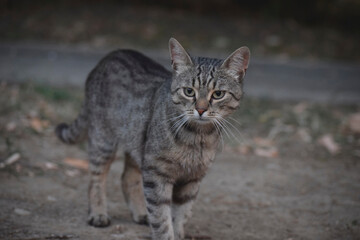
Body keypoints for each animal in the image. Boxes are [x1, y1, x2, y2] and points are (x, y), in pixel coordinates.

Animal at [56, 38, 250, 239]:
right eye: (189, 91)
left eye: (218, 94)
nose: (201, 109)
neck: (197, 137)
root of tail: (108, 57)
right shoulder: (156, 174)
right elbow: (161, 219)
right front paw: (165, 233)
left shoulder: (192, 179)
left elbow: (181, 215)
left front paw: (178, 232)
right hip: (103, 142)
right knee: (96, 178)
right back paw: (98, 213)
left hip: (137, 145)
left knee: (127, 177)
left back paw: (140, 213)